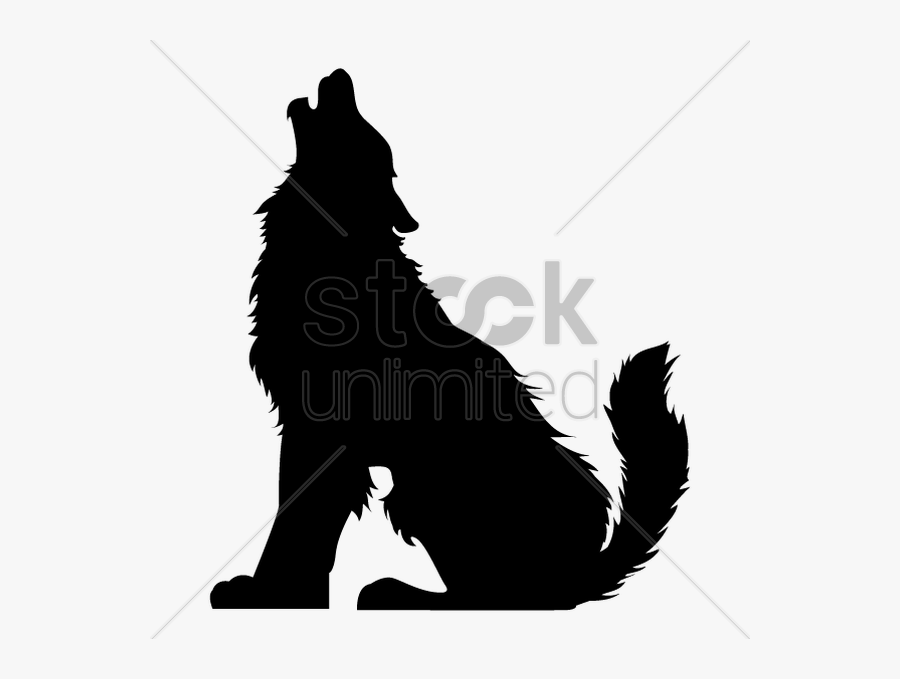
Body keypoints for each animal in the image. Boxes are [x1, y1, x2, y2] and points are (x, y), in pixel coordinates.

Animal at [210, 69, 689, 610]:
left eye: (364, 134)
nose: (341, 75)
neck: (332, 256)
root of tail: (579, 573)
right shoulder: (305, 427)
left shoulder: (325, 434)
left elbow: (298, 521)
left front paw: (271, 592)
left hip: (430, 491)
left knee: (491, 595)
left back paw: (395, 593)